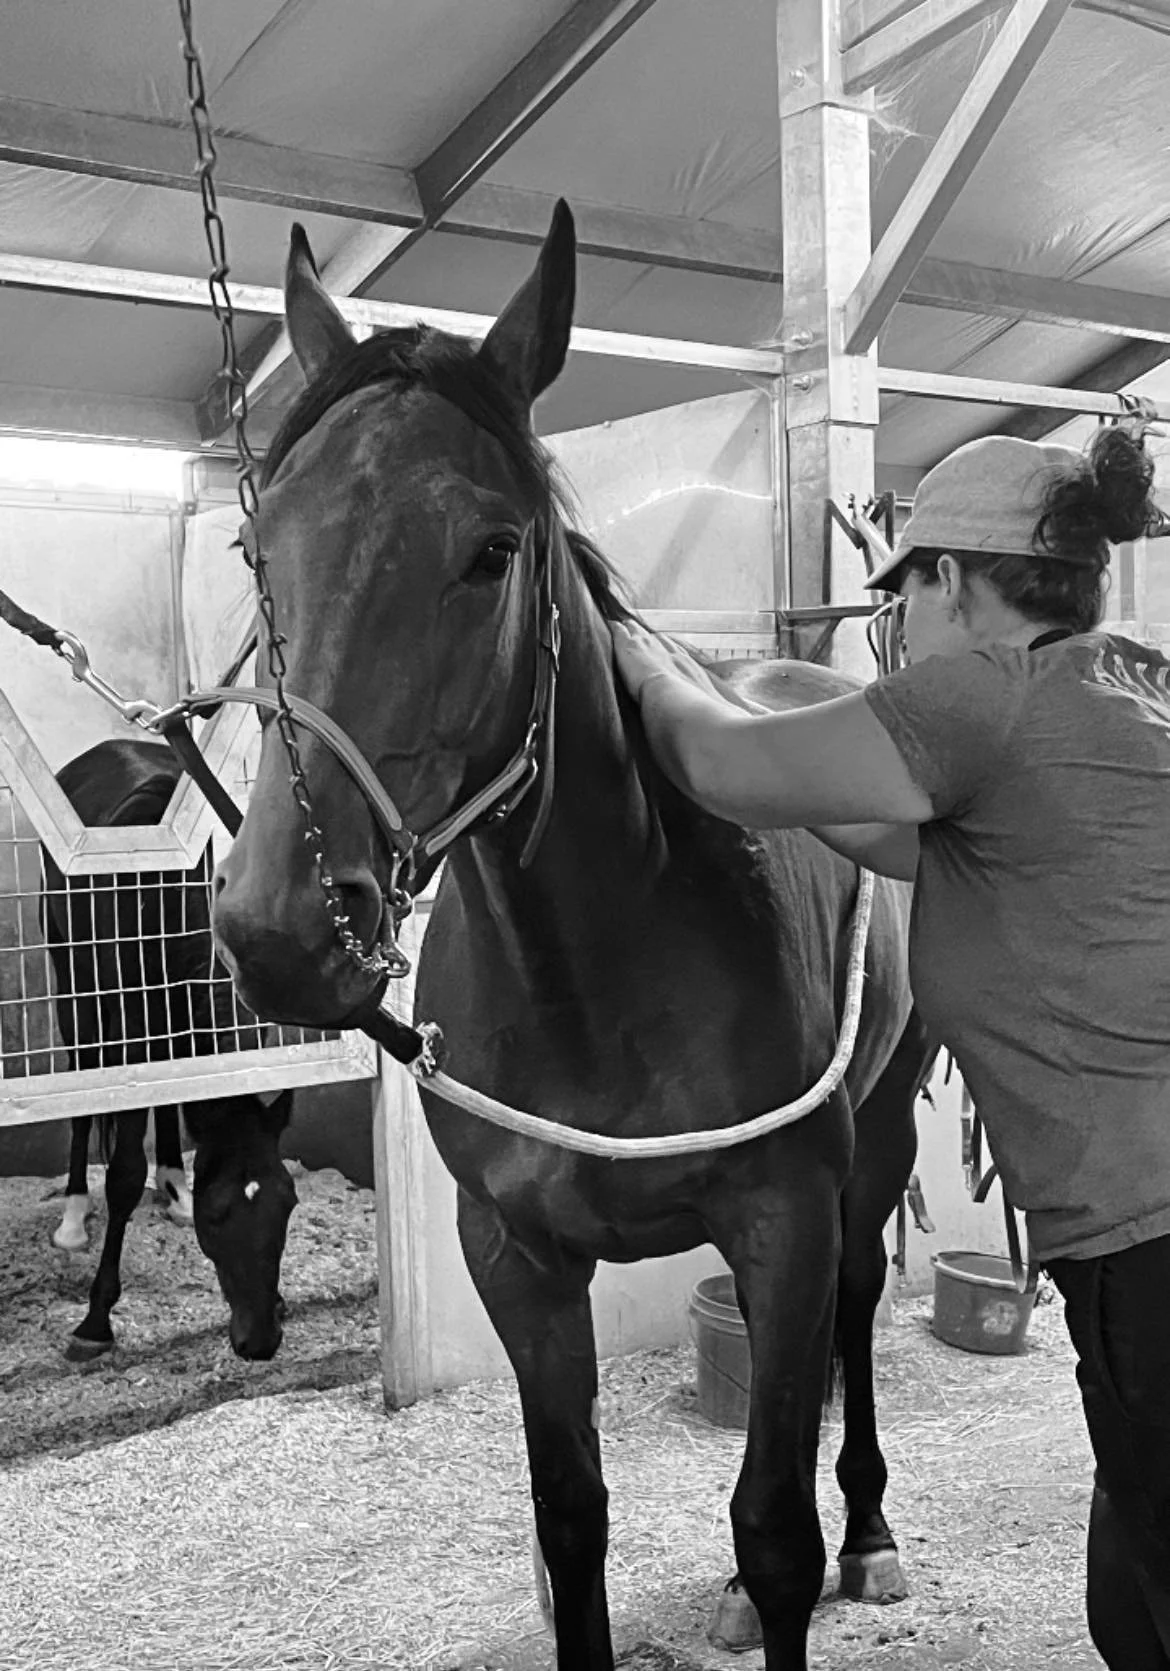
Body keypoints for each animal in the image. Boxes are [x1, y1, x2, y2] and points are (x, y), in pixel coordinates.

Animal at [42, 738, 298, 1361]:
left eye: (288, 1203)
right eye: (219, 1213)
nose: (261, 1339)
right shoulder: (135, 1028)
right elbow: (124, 1174)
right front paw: (95, 1320)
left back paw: (173, 1180)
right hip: (74, 983)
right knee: (82, 1077)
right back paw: (75, 1214)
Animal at [210, 203, 933, 1671]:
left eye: (492, 550)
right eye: (260, 548)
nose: (280, 926)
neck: (591, 974)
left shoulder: (783, 1214)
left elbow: (775, 1530)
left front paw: (812, 1551)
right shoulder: (516, 1254)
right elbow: (570, 1519)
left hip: (874, 1138)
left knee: (851, 1308)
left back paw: (873, 1531)